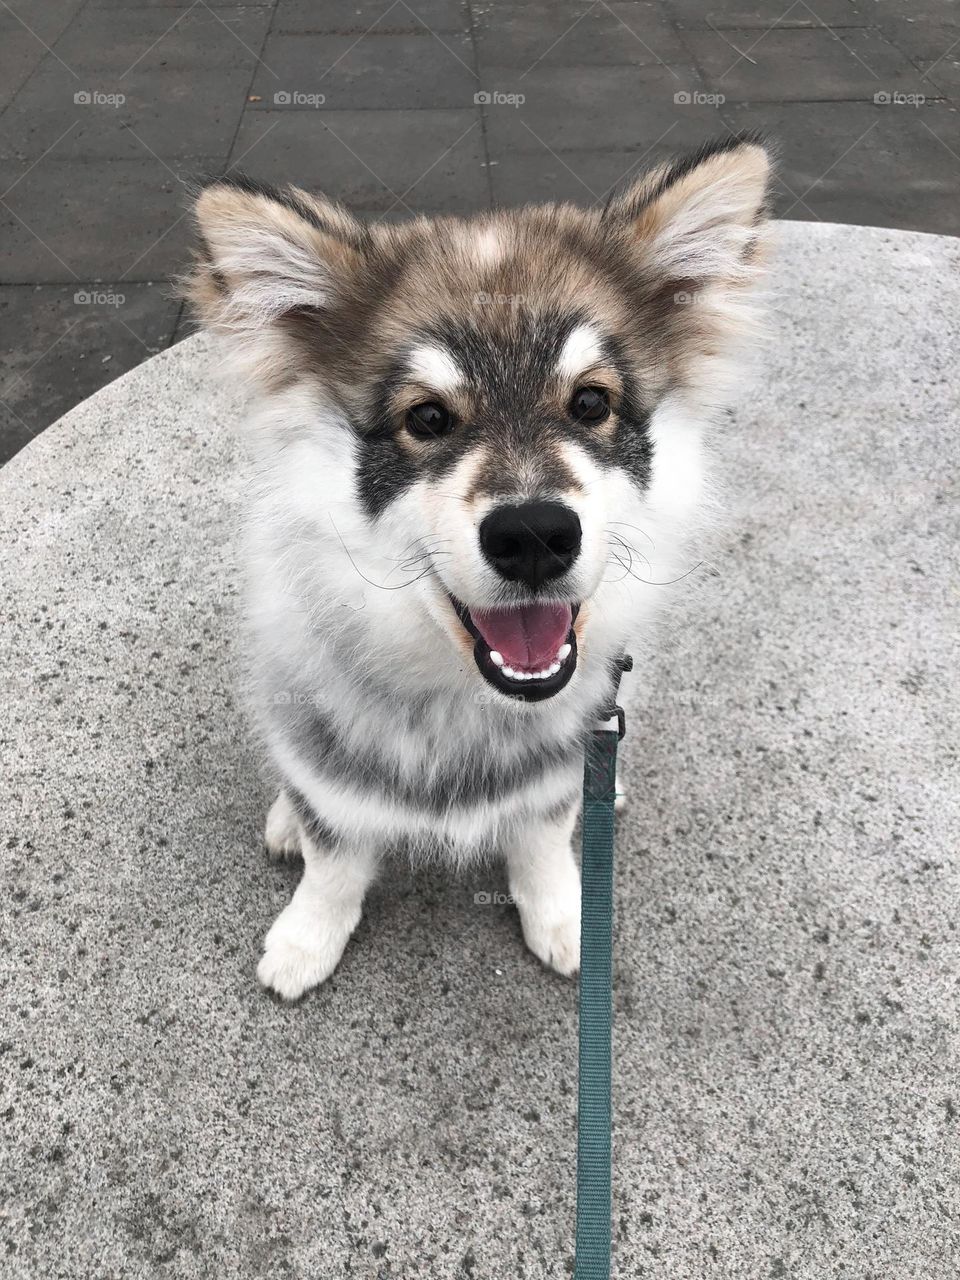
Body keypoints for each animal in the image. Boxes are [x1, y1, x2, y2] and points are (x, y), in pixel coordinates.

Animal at [185, 135, 773, 1003]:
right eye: (428, 418)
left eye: (591, 404)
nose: (533, 535)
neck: (463, 702)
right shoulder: (325, 757)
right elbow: (334, 855)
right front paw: (308, 936)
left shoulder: (554, 777)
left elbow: (542, 839)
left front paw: (564, 916)